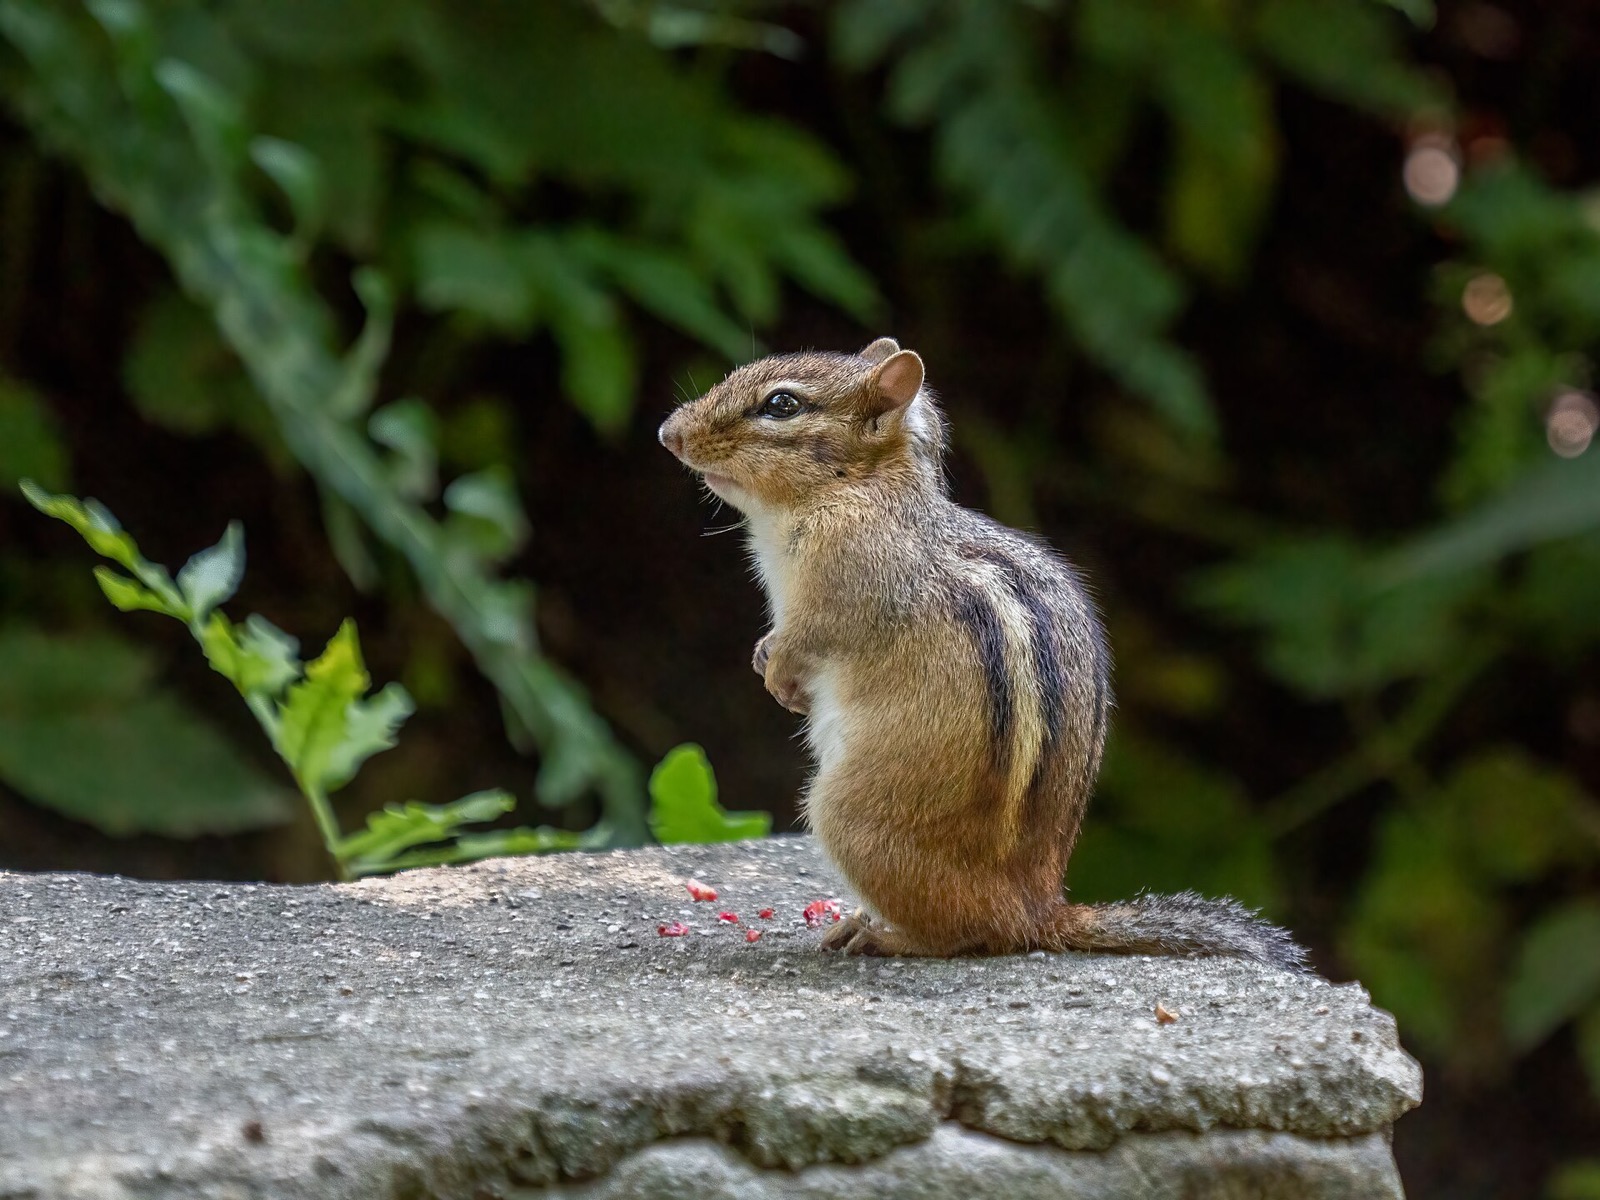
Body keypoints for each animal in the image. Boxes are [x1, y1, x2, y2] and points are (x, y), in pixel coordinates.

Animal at [658, 338, 1305, 969]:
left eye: (782, 405)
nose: (669, 433)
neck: (855, 490)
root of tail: (1039, 909)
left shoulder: (843, 586)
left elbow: (809, 638)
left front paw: (779, 674)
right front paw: (766, 661)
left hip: (850, 819)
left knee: (971, 937)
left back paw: (884, 936)